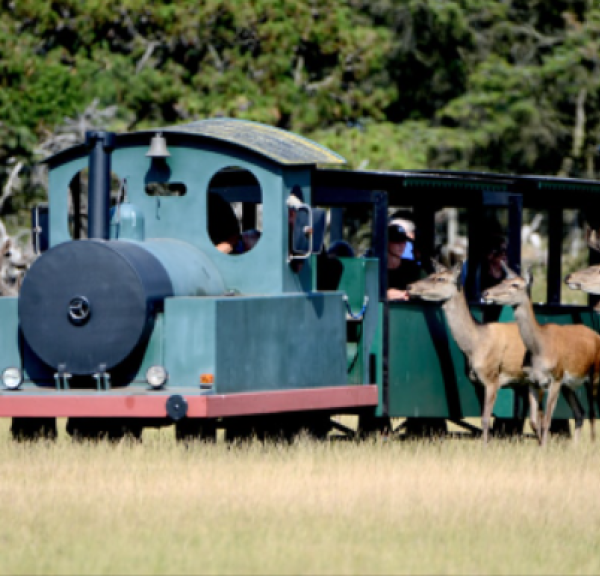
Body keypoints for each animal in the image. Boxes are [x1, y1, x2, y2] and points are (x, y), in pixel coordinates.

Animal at [406, 264, 540, 444]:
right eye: (431, 274)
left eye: (440, 278)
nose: (409, 287)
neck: (475, 346)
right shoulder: (477, 382)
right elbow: (483, 416)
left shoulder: (492, 378)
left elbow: (485, 419)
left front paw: (485, 445)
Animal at [482, 264, 600, 446]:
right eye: (503, 280)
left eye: (515, 284)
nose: (485, 292)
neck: (539, 350)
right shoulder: (532, 381)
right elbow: (534, 420)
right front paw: (541, 444)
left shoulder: (556, 377)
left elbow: (546, 420)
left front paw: (544, 446)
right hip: (570, 386)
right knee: (580, 412)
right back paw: (574, 446)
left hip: (594, 376)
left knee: (592, 414)